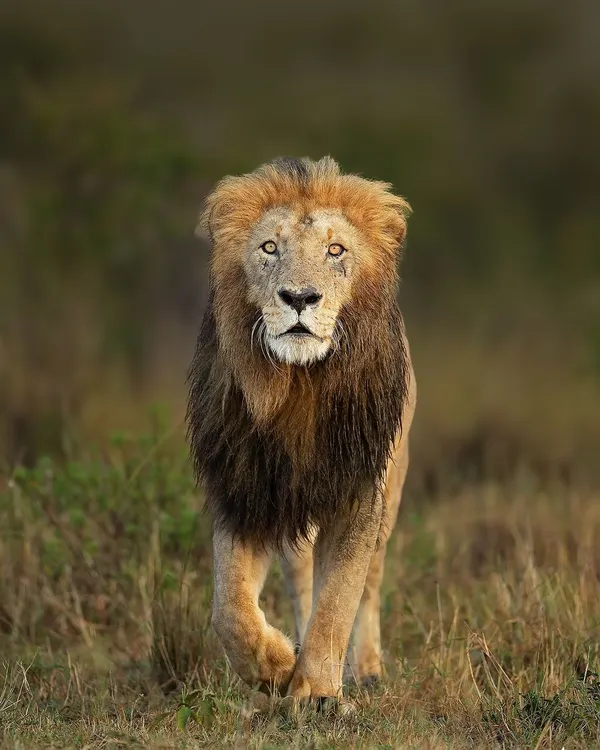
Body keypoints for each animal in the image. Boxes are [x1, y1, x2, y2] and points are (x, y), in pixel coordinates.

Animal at [186, 156, 416, 705]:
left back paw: (366, 670)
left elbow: (339, 601)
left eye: (336, 250)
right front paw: (274, 667)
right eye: (270, 247)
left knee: (368, 585)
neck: (298, 385)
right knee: (301, 580)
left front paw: (315, 692)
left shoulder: (359, 495)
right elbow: (229, 609)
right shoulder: (244, 490)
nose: (299, 297)